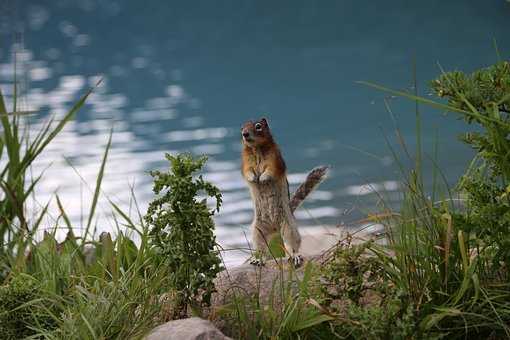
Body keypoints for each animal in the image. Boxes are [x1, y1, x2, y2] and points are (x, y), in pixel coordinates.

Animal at [241, 118, 328, 266]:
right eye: (242, 127)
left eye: (258, 126)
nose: (245, 134)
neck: (256, 148)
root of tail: (274, 228)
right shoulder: (246, 161)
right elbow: (247, 171)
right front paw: (253, 178)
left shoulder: (275, 159)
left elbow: (270, 170)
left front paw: (262, 178)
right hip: (258, 230)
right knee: (261, 248)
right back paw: (258, 259)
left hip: (289, 227)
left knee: (291, 244)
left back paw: (295, 256)